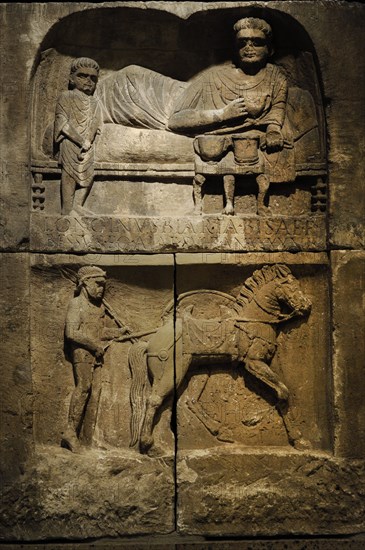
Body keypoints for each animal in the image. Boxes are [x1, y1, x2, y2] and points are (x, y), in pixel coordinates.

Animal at [127, 266, 310, 454]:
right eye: (289, 284)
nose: (306, 305)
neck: (253, 320)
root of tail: (150, 342)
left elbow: (281, 394)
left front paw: (297, 439)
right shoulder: (253, 363)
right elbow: (283, 393)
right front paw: (287, 434)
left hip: (200, 370)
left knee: (190, 400)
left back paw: (219, 431)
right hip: (171, 373)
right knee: (154, 400)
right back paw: (150, 445)